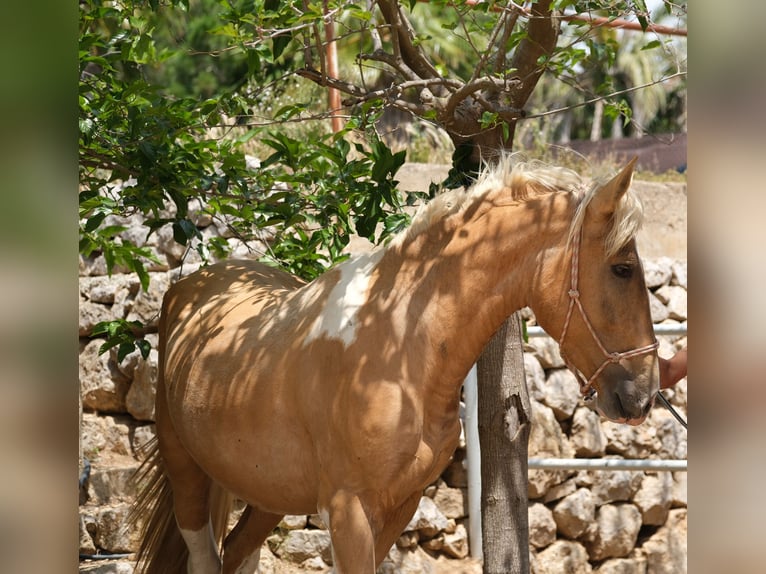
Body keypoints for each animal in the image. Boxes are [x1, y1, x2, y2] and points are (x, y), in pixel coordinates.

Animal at [132, 158, 660, 574]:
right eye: (622, 268)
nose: (643, 393)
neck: (398, 348)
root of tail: (193, 284)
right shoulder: (348, 511)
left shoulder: (401, 506)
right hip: (186, 473)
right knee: (206, 556)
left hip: (266, 492)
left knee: (239, 552)